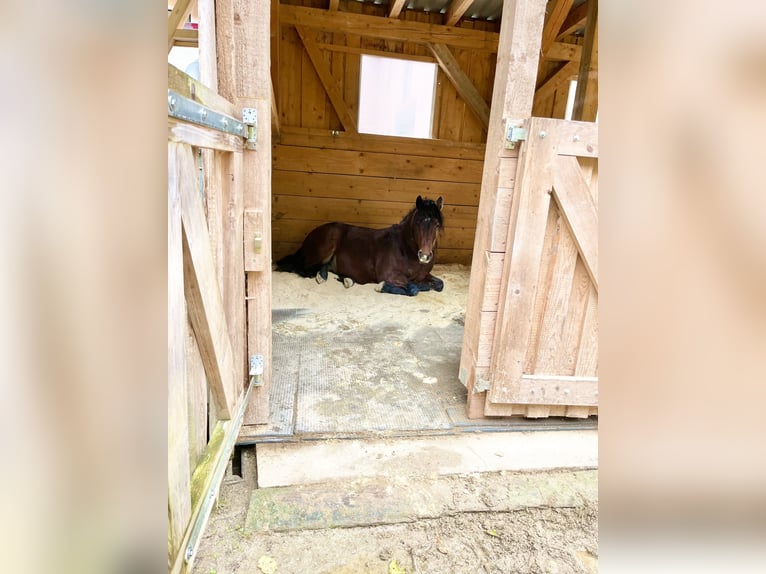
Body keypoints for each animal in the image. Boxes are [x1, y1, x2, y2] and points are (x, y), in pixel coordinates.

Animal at [276, 195, 445, 296]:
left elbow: (439, 284)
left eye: (437, 225)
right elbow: (414, 288)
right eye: (418, 223)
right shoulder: (390, 275)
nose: (425, 255)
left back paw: (346, 280)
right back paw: (322, 277)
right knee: (305, 267)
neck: (405, 249)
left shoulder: (423, 276)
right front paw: (382, 287)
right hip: (324, 250)